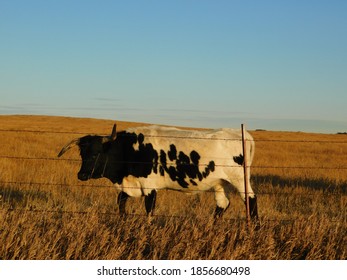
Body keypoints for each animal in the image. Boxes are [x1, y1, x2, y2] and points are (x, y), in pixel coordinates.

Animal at [57, 124, 258, 221]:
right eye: (82, 154)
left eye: (96, 153)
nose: (81, 175)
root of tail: (243, 134)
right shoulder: (129, 184)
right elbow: (121, 203)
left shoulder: (149, 186)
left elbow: (149, 210)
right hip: (220, 182)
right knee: (222, 203)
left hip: (240, 180)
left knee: (251, 200)